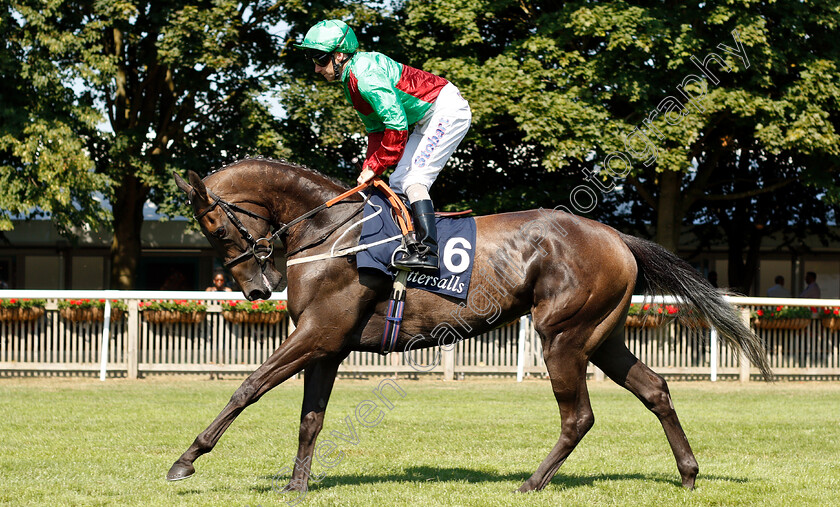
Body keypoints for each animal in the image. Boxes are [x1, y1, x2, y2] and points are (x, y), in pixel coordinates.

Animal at [167, 158, 772, 492]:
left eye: (214, 226)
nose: (255, 289)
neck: (334, 232)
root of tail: (616, 236)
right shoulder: (328, 346)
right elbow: (310, 420)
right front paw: (297, 485)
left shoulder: (316, 334)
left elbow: (248, 386)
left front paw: (186, 459)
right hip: (601, 337)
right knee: (655, 388)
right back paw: (688, 472)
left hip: (562, 336)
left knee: (578, 416)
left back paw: (531, 483)